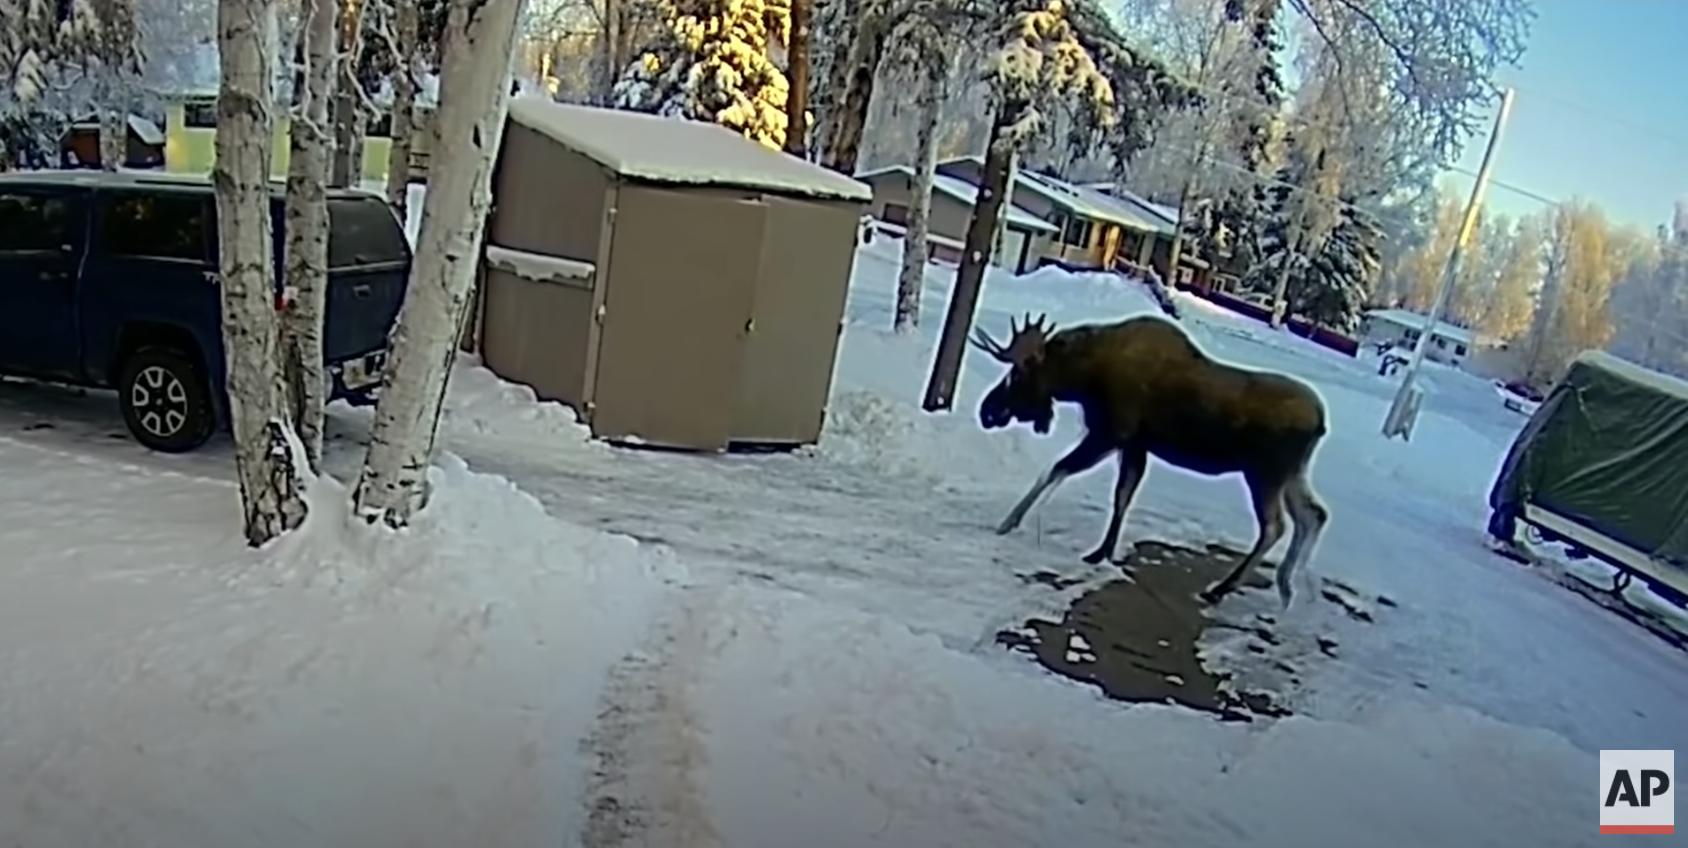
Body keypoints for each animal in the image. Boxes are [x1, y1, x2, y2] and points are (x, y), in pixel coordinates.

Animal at [972, 313, 1330, 608]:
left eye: (1018, 373)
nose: (987, 411)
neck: (1085, 378)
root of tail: (1321, 422)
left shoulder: (1111, 434)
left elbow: (1055, 470)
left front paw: (1009, 522)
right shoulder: (1134, 445)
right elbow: (1122, 495)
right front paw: (1102, 552)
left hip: (1266, 473)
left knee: (1275, 526)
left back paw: (1222, 589)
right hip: (1292, 474)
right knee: (1313, 515)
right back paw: (1288, 588)